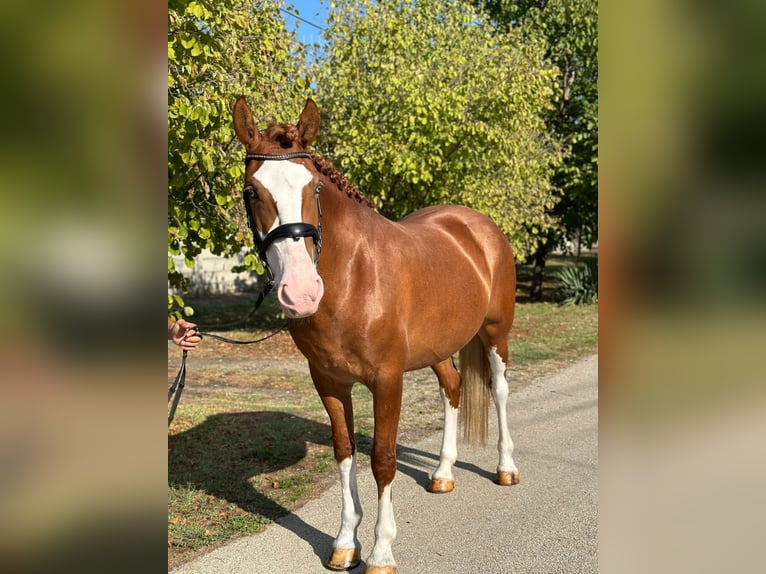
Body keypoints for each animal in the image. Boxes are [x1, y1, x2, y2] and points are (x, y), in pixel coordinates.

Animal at [232, 99, 520, 574]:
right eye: (252, 192)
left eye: (314, 188)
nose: (301, 292)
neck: (355, 276)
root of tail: (478, 226)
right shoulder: (329, 382)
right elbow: (344, 451)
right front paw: (345, 542)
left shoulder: (387, 380)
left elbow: (383, 459)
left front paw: (381, 550)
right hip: (438, 347)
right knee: (453, 388)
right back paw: (443, 474)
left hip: (496, 332)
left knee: (498, 391)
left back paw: (506, 467)